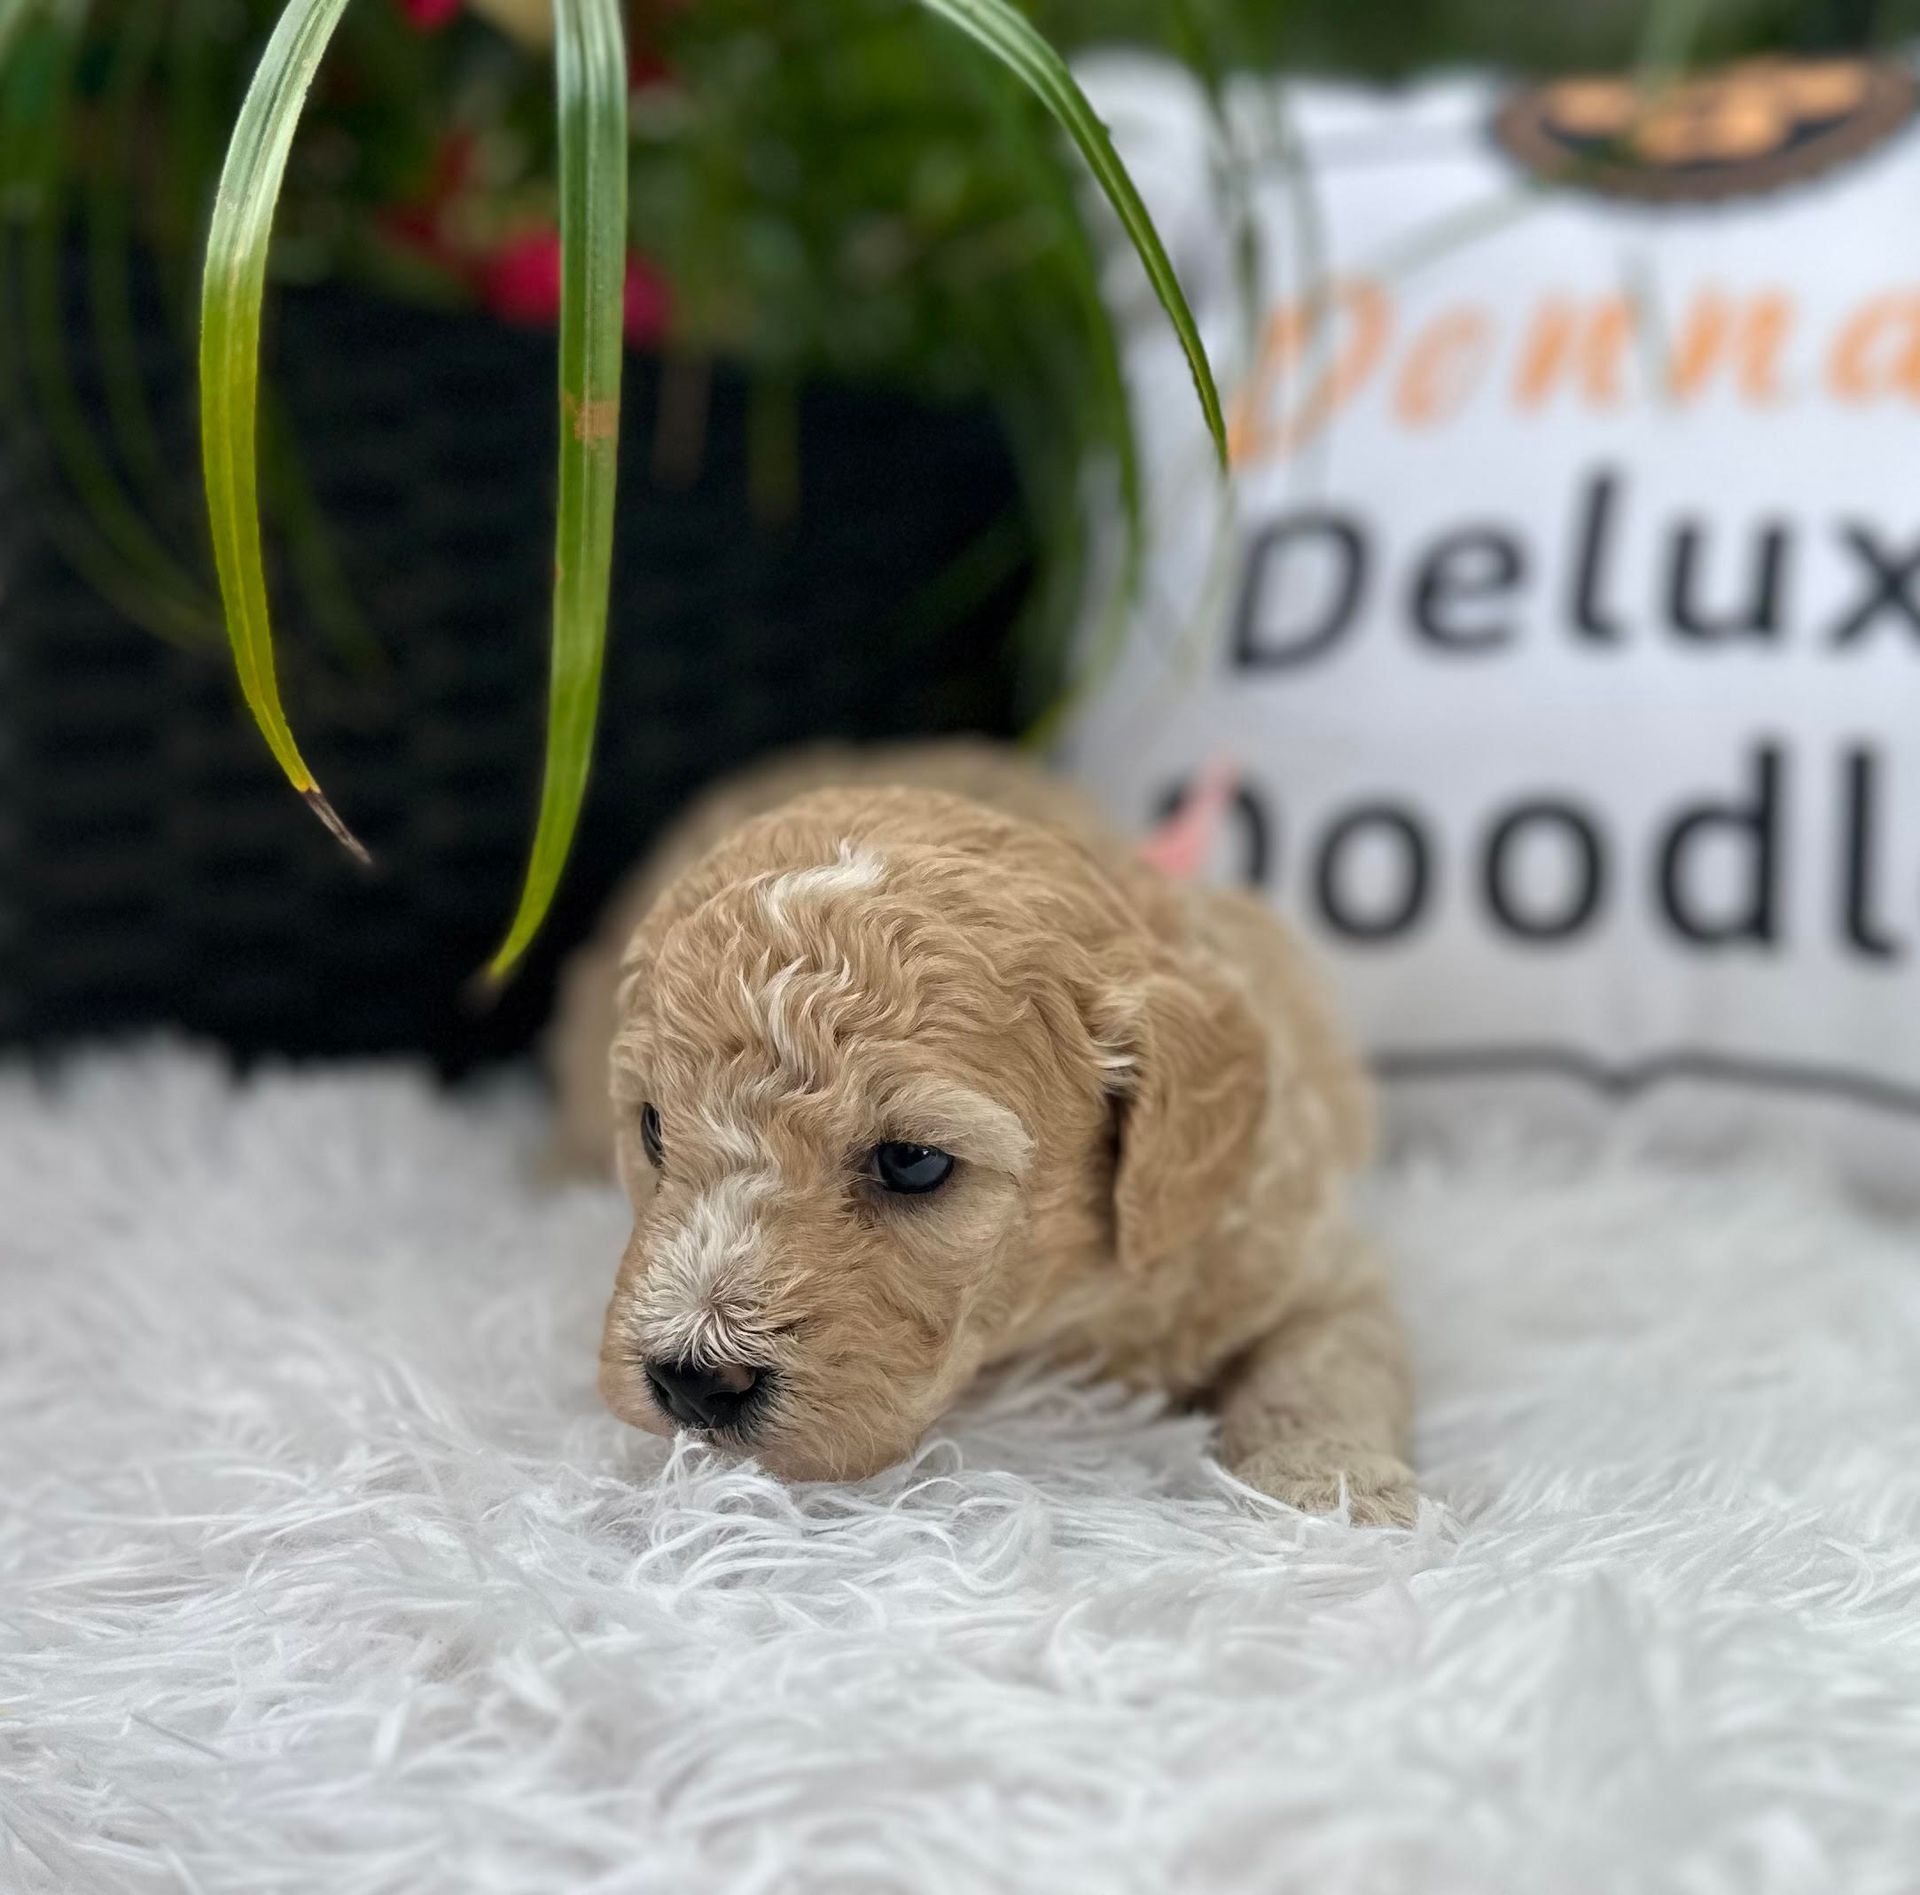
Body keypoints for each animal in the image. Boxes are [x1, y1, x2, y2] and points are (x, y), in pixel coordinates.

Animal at [549, 741, 1420, 1528]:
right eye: (654, 1127)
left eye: (912, 1161)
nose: (694, 1381)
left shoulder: (1302, 1249)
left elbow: (1323, 1365)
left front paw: (1334, 1490)